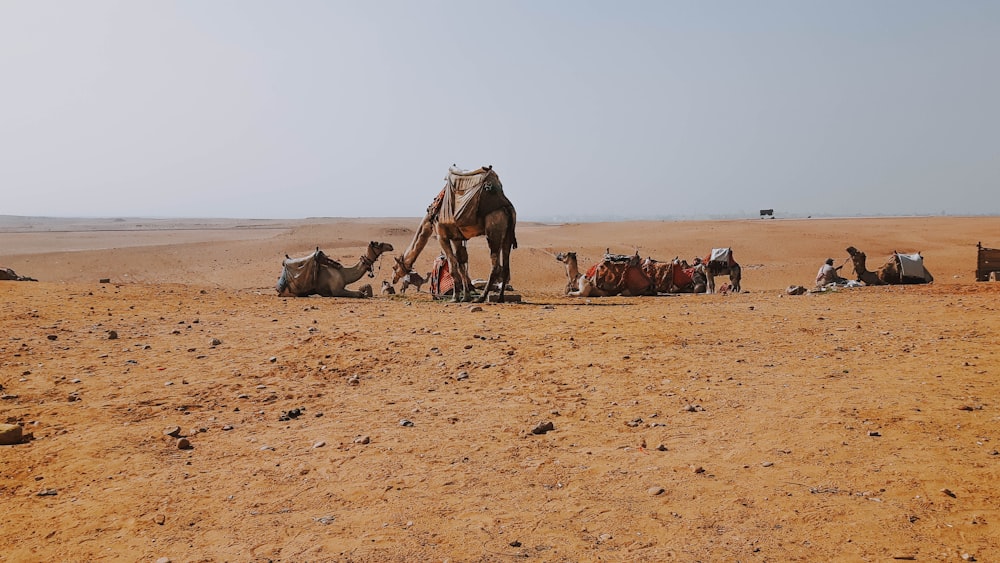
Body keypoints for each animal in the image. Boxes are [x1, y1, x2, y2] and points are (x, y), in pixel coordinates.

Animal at [392, 164, 520, 304]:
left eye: (394, 267)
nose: (393, 279)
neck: (430, 218)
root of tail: (507, 206)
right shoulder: (456, 237)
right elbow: (461, 265)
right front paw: (465, 296)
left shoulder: (441, 235)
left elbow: (453, 266)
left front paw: (455, 297)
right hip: (507, 235)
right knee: (506, 267)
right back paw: (500, 298)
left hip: (494, 230)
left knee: (496, 266)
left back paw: (481, 298)